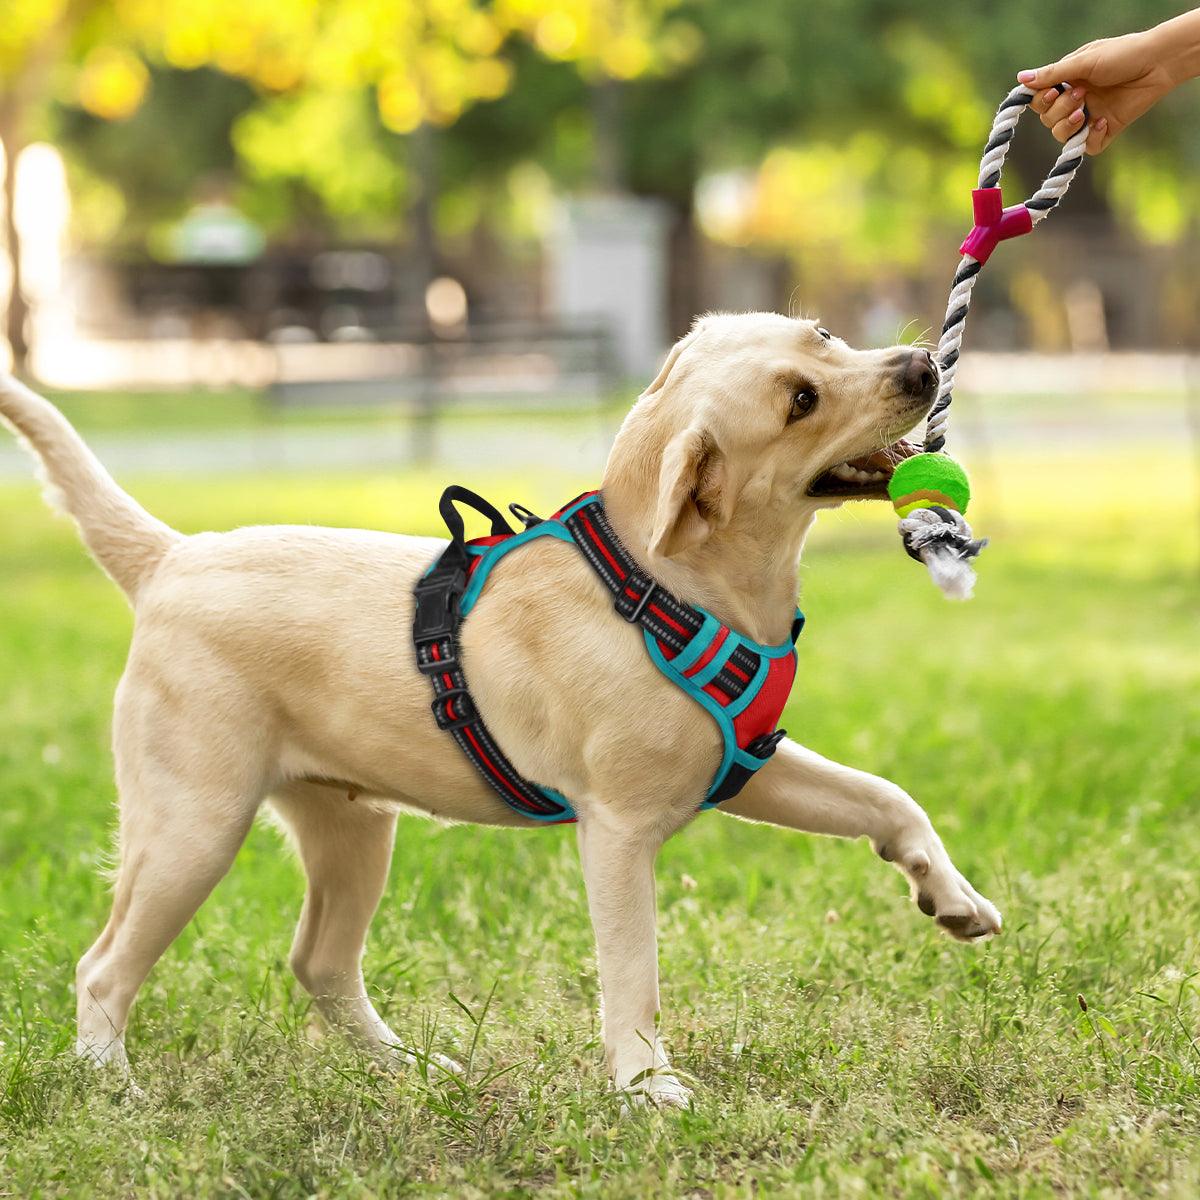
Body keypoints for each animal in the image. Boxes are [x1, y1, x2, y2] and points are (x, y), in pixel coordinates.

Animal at [0, 314, 998, 1108]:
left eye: (822, 334)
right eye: (800, 400)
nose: (921, 365)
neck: (662, 584)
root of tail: (171, 558)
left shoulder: (748, 766)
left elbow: (885, 798)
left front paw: (952, 897)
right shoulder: (618, 832)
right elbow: (634, 973)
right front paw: (647, 1086)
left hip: (352, 830)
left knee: (319, 963)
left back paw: (407, 1070)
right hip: (193, 827)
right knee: (103, 968)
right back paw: (112, 1086)